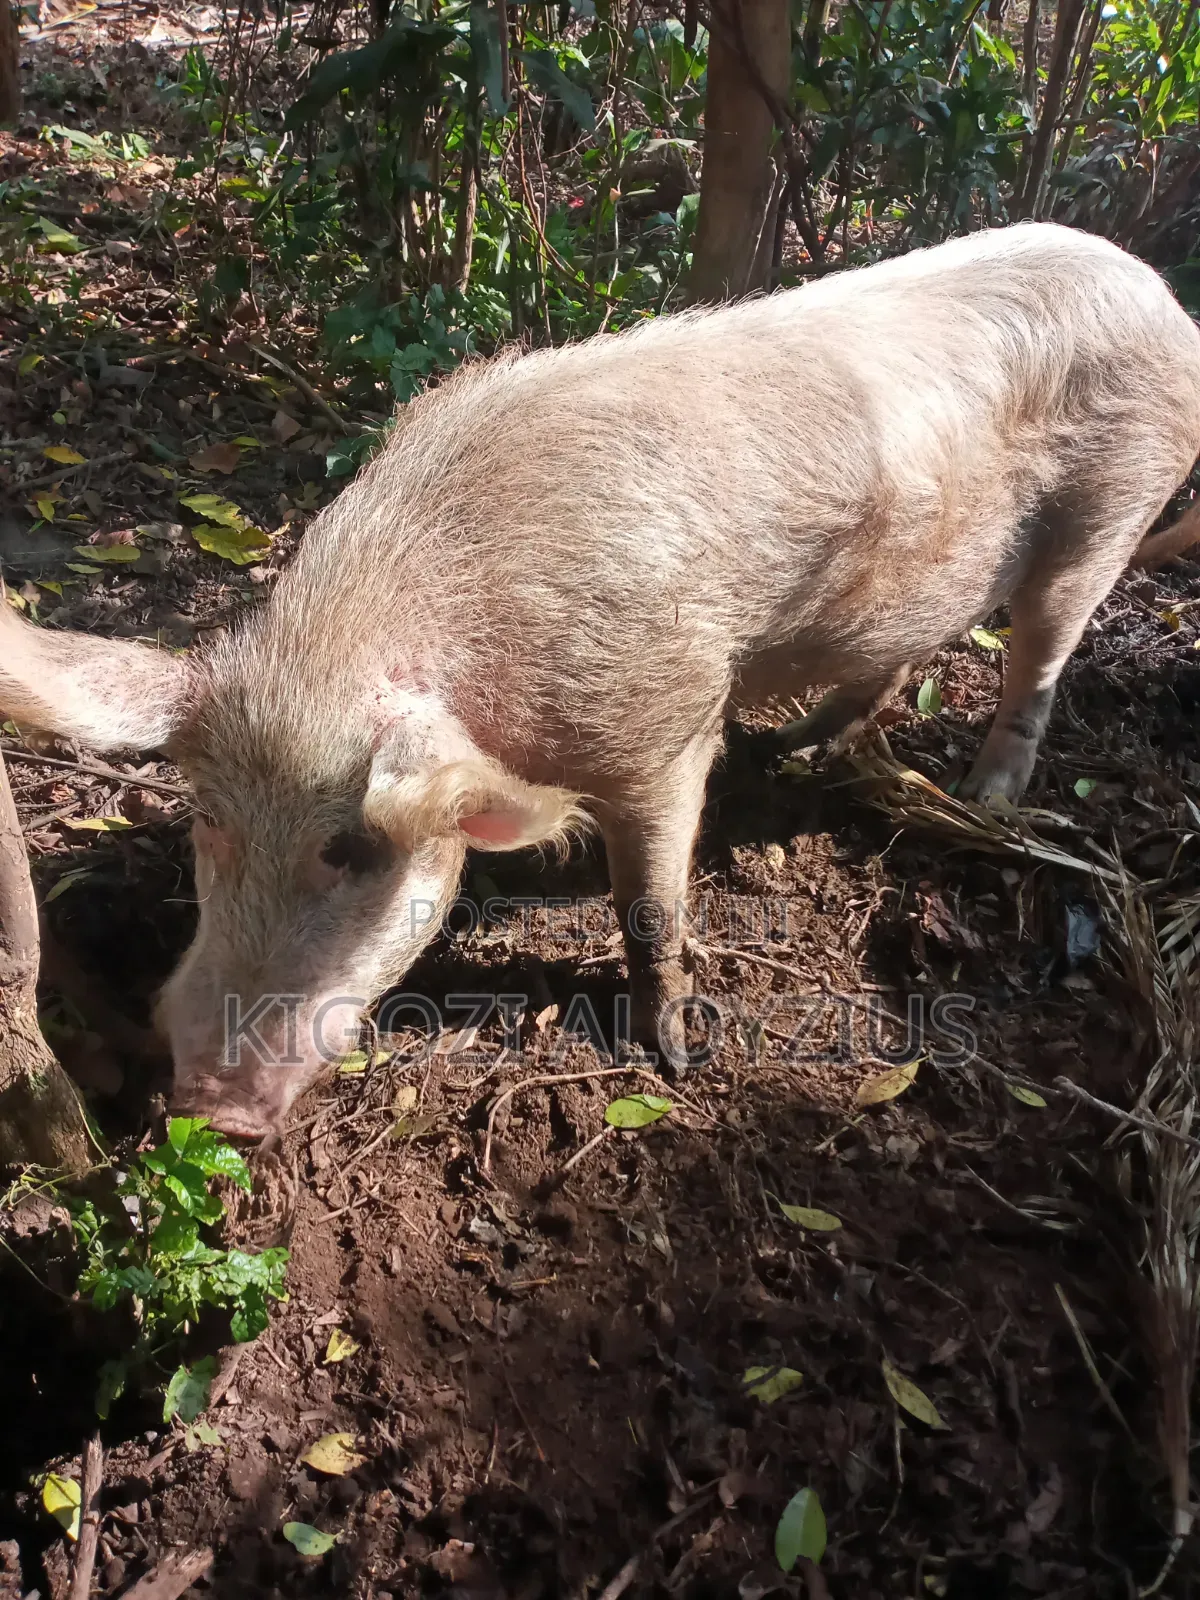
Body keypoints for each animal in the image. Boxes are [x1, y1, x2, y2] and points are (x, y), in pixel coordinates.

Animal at [3, 220, 1199, 1138]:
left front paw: (675, 1053)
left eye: (353, 852)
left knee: (1039, 659)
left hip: (1111, 509)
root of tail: (1157, 288)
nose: (206, 1110)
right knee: (904, 651)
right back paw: (803, 746)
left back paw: (987, 800)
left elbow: (649, 902)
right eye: (208, 822)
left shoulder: (666, 724)